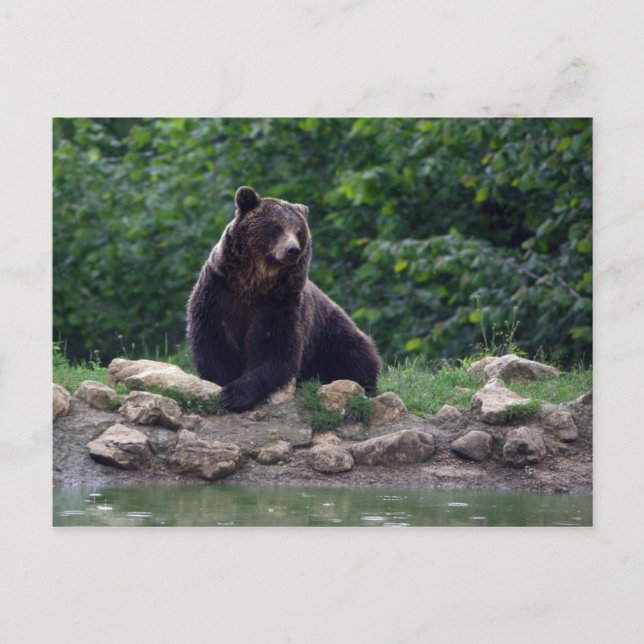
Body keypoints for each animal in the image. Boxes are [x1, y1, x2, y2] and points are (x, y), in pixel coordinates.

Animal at [186, 186, 382, 412]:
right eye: (277, 227)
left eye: (299, 232)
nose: (292, 250)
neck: (253, 283)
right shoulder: (219, 293)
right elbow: (214, 343)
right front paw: (222, 385)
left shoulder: (279, 303)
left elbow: (277, 350)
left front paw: (235, 394)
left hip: (331, 335)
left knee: (356, 356)